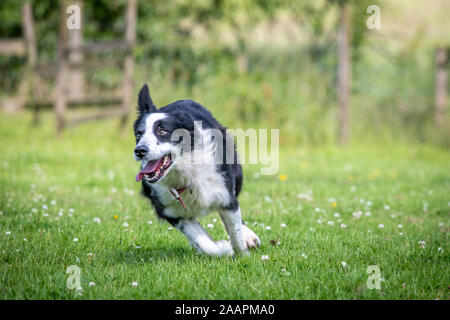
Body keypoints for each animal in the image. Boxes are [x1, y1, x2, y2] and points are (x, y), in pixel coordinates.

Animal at [134, 84, 260, 256]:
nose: (139, 150)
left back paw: (249, 236)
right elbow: (204, 242)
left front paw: (242, 254)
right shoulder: (171, 211)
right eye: (138, 135)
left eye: (162, 131)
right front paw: (224, 248)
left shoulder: (225, 196)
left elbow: (235, 231)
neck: (185, 173)